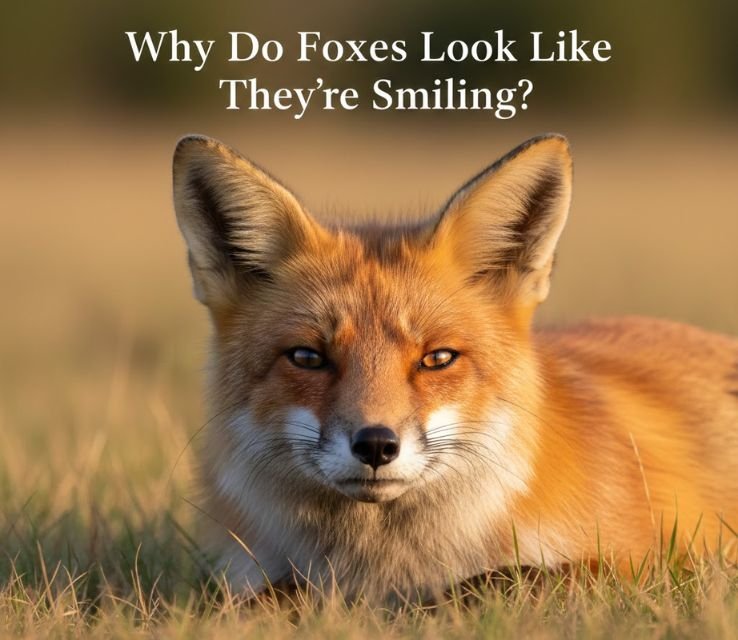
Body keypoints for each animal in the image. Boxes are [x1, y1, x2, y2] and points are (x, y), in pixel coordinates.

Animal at [172, 133, 738, 601]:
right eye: (308, 357)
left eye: (437, 358)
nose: (375, 446)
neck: (380, 569)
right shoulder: (249, 571)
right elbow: (259, 597)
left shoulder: (646, 567)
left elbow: (496, 581)